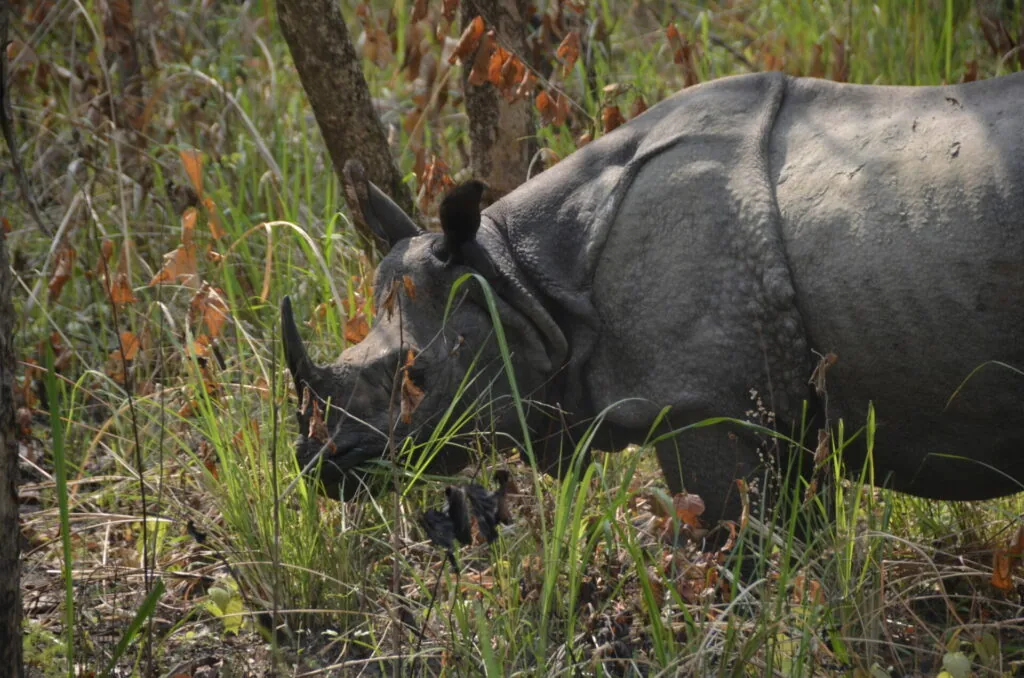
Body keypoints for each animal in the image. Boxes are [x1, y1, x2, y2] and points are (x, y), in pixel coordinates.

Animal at [282, 71, 1024, 526]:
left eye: (417, 376)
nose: (318, 464)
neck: (523, 282)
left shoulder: (706, 405)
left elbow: (749, 551)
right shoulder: (779, 411)